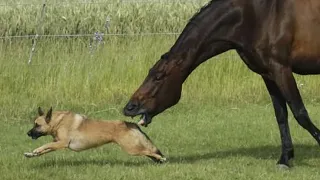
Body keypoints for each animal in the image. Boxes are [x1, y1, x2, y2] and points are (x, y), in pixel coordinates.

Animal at [23, 107, 166, 163]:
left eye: (37, 125)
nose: (28, 133)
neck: (58, 122)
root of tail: (131, 124)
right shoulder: (56, 143)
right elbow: (45, 149)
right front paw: (31, 154)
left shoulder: (61, 143)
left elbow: (45, 145)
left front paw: (36, 150)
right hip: (134, 147)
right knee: (149, 152)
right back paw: (158, 160)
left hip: (131, 149)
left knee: (150, 151)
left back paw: (162, 159)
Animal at [122, 0, 320, 167]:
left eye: (159, 76)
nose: (130, 107)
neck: (259, 16)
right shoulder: (268, 74)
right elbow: (281, 115)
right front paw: (285, 158)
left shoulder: (281, 69)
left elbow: (300, 113)